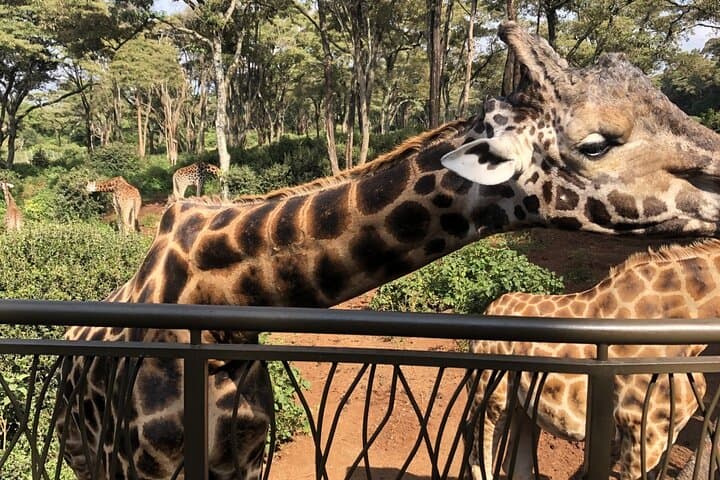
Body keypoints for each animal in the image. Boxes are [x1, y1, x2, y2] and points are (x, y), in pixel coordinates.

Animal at [470, 239, 720, 480]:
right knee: (478, 460)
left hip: (523, 407)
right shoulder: (641, 430)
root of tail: (488, 309)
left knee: (516, 466)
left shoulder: (662, 434)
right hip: (491, 396)